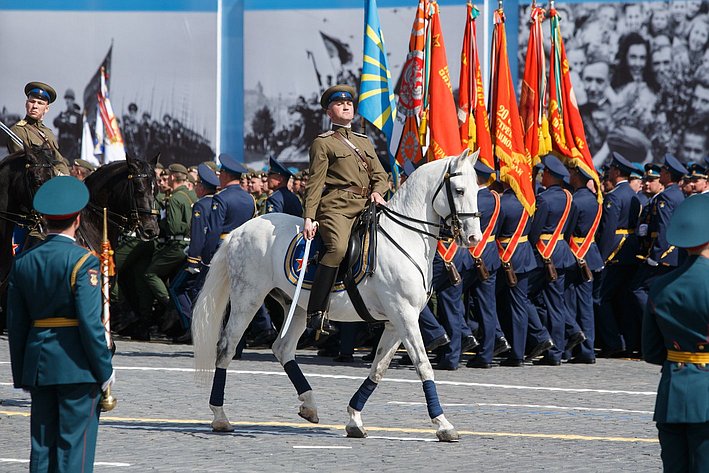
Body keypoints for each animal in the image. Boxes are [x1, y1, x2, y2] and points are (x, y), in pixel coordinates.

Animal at [194, 148, 482, 438]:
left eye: (477, 189)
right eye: (459, 190)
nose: (474, 238)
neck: (404, 237)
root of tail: (239, 230)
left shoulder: (397, 321)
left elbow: (379, 369)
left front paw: (354, 418)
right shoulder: (404, 315)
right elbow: (423, 365)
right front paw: (443, 424)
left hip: (297, 306)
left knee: (282, 348)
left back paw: (309, 404)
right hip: (247, 298)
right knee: (227, 347)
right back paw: (220, 416)